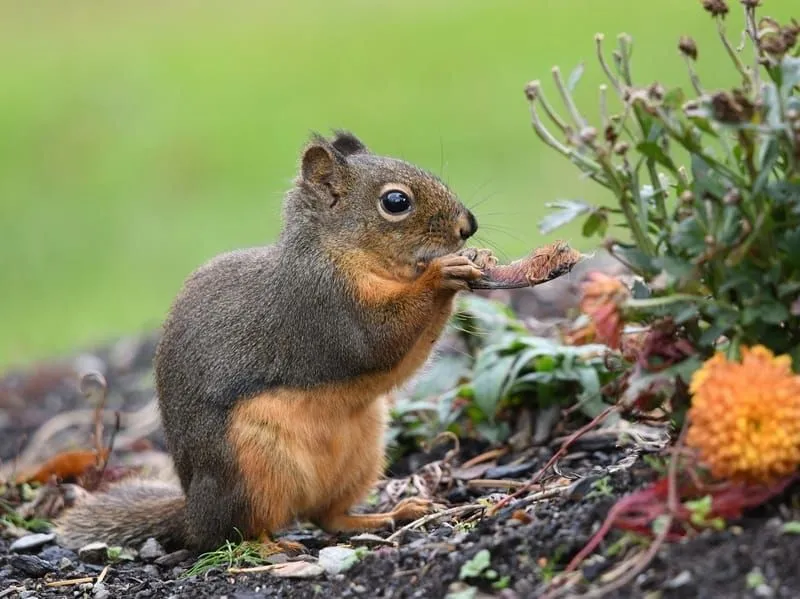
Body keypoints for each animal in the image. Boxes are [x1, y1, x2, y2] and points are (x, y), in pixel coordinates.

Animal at [54, 134, 494, 556]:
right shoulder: (325, 305)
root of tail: (193, 513)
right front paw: (441, 273)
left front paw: (472, 262)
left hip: (362, 452)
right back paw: (267, 545)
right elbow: (377, 340)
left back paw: (388, 514)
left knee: (327, 516)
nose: (468, 225)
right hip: (250, 467)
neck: (345, 252)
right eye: (396, 202)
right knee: (231, 533)